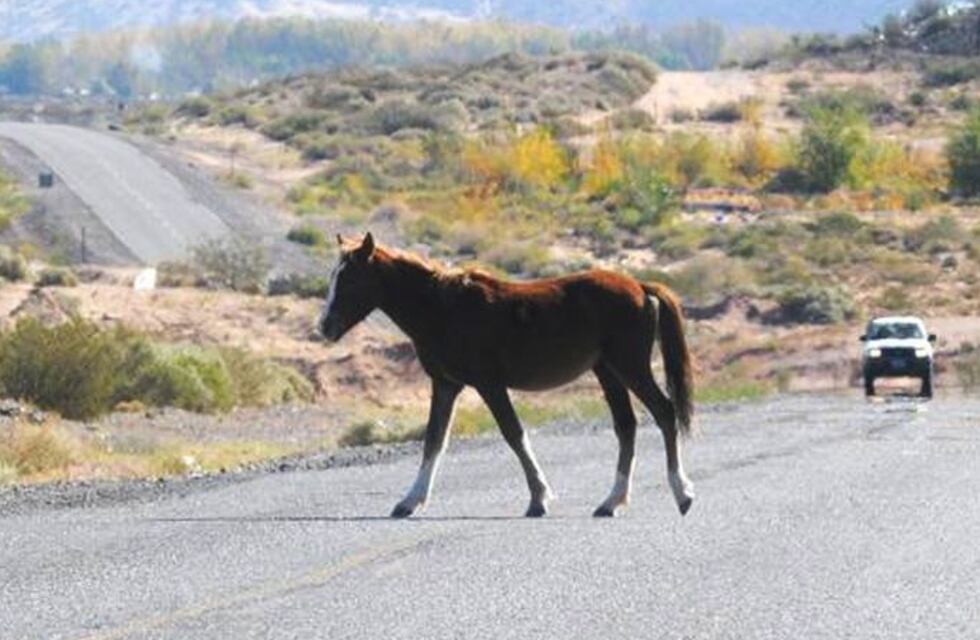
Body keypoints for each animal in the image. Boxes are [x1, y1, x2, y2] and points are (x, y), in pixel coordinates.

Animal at [319, 233, 696, 518]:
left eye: (350, 279)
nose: (324, 327)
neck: (442, 309)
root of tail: (640, 286)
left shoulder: (489, 384)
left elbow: (514, 435)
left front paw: (539, 498)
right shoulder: (446, 385)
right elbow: (433, 440)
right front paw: (409, 501)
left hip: (630, 367)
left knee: (664, 412)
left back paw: (682, 494)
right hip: (608, 371)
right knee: (626, 426)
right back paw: (611, 501)